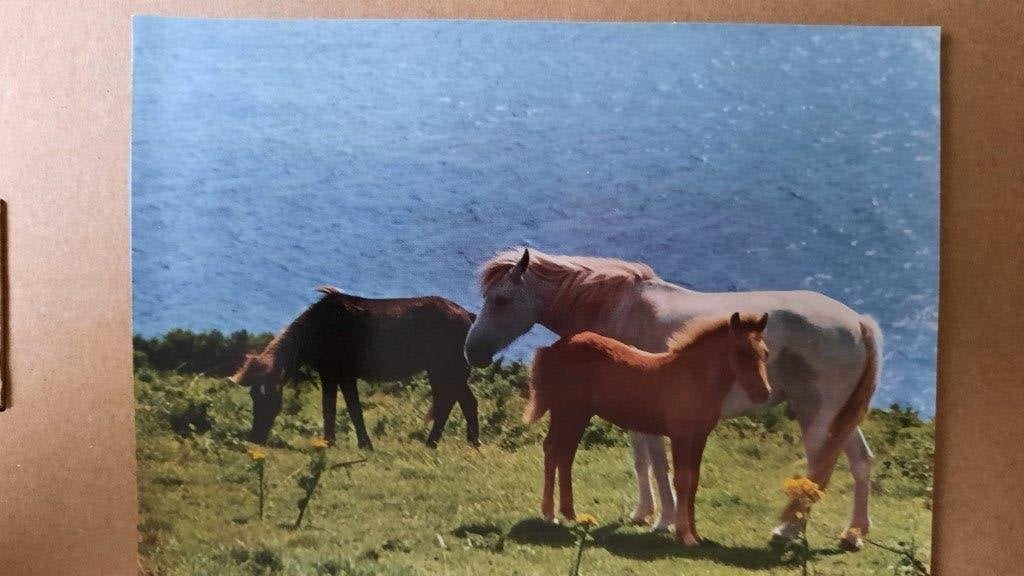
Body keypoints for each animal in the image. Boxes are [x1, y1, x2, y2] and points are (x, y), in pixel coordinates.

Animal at [230, 286, 480, 450]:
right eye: (252, 396)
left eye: (266, 397)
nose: (254, 438)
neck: (318, 327)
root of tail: (468, 315)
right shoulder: (329, 376)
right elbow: (329, 408)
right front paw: (329, 441)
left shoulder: (345, 376)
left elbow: (353, 409)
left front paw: (363, 444)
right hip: (446, 373)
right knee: (464, 402)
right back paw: (470, 442)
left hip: (447, 371)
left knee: (452, 403)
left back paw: (435, 443)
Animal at [525, 313, 774, 546]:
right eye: (741, 352)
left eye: (765, 353)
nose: (763, 393)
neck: (693, 378)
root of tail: (554, 347)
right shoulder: (680, 436)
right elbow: (681, 480)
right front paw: (683, 535)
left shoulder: (699, 437)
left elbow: (693, 481)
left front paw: (694, 535)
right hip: (568, 412)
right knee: (554, 450)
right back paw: (550, 514)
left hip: (575, 415)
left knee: (564, 454)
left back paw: (569, 513)